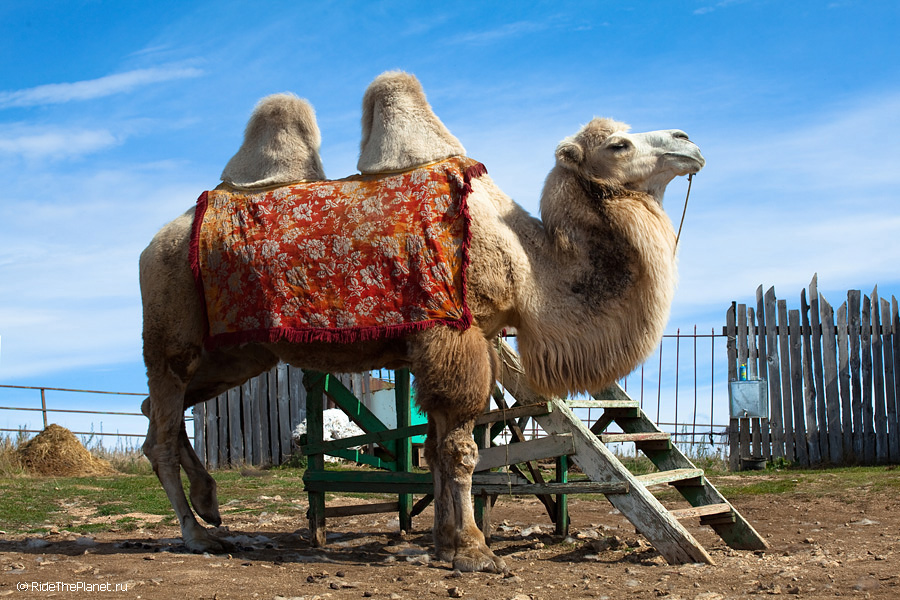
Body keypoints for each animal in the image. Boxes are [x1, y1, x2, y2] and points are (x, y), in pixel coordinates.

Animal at [140, 72, 704, 574]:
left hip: (235, 354)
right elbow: (460, 451)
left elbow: (433, 449)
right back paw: (197, 535)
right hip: (171, 334)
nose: (688, 140)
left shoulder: (443, 342)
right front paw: (475, 552)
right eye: (618, 144)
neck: (528, 265)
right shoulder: (450, 334)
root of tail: (152, 245)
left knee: (156, 412)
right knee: (161, 431)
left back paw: (211, 505)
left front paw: (443, 545)